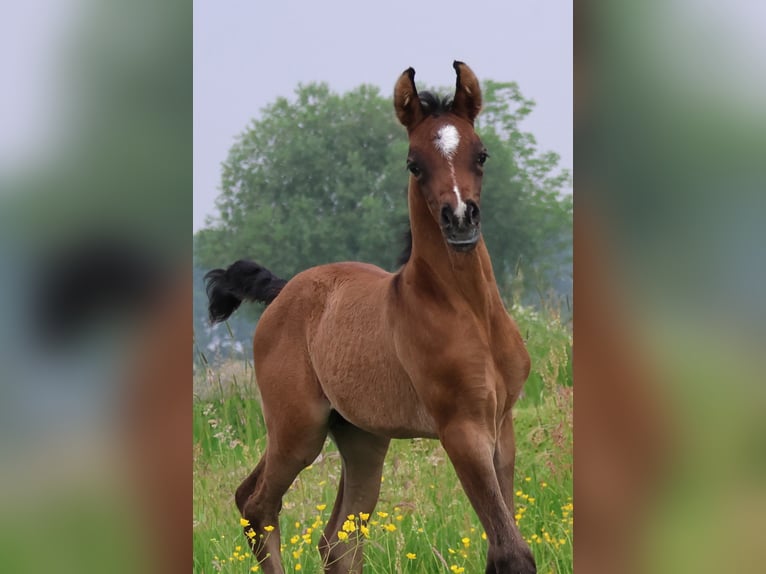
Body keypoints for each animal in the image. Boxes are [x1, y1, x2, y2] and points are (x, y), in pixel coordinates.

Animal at [207, 62, 536, 574]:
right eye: (414, 164)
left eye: (481, 155)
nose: (461, 219)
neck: (469, 312)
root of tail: (285, 289)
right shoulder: (462, 428)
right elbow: (511, 551)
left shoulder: (502, 426)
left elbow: (499, 548)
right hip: (298, 428)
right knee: (257, 503)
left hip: (360, 437)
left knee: (336, 543)